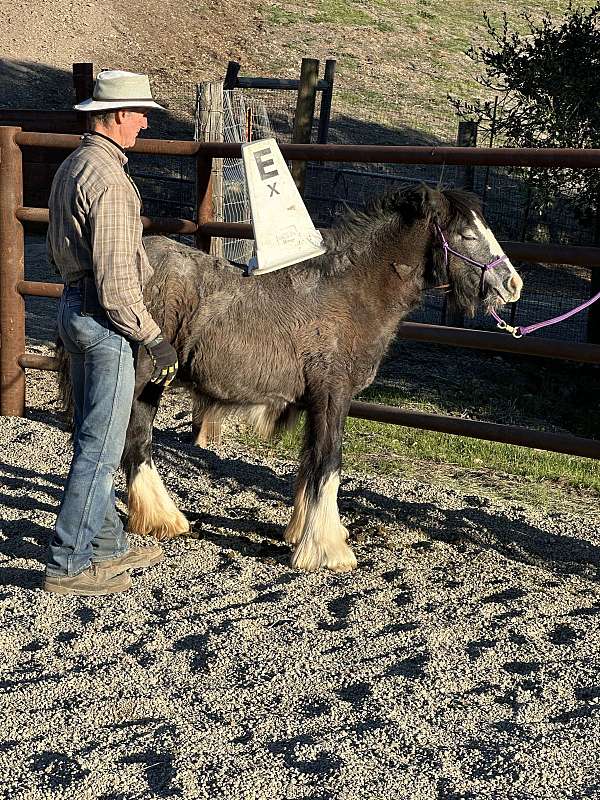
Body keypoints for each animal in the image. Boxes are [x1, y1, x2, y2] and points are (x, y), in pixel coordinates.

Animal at [58, 184, 524, 572]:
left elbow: (310, 464)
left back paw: (161, 519)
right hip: (137, 382)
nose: (512, 283)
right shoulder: (333, 396)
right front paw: (328, 552)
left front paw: (304, 533)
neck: (351, 294)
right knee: (124, 444)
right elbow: (329, 464)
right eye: (467, 235)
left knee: (135, 446)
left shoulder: (317, 402)